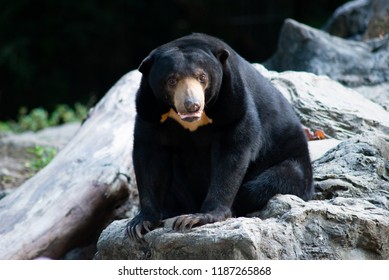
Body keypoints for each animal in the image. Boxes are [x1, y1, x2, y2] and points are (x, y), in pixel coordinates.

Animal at [127, 33, 312, 241]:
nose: (192, 105)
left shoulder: (234, 103)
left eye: (202, 77)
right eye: (172, 80)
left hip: (291, 163)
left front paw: (197, 218)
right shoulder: (149, 110)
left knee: (271, 181)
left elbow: (231, 154)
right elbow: (150, 157)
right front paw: (140, 223)